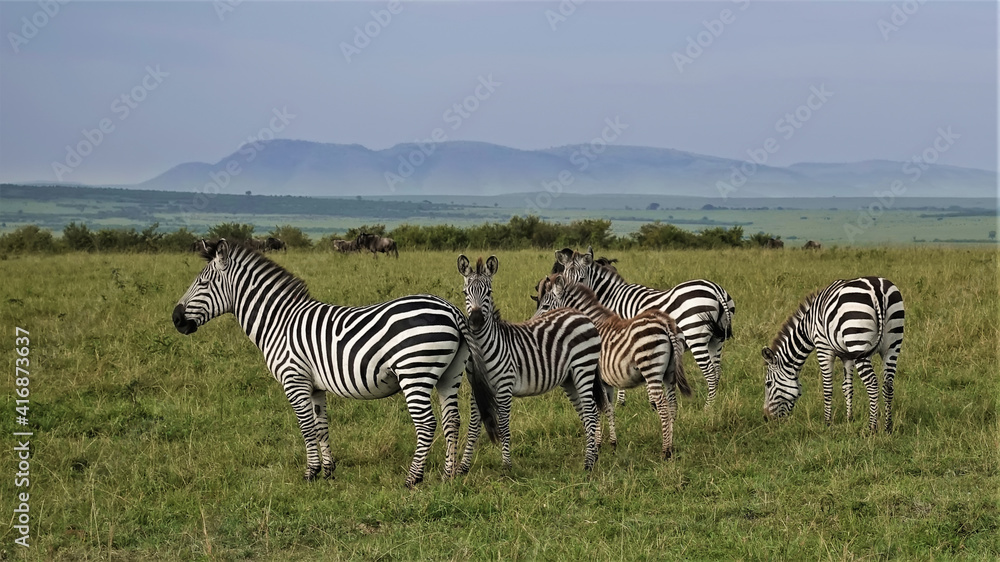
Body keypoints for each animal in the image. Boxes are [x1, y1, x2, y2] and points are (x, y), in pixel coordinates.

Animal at [171, 239, 497, 488]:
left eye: (202, 282)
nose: (175, 319)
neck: (278, 322)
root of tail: (451, 309)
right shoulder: (315, 386)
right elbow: (321, 426)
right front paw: (328, 471)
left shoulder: (295, 380)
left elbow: (306, 427)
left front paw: (310, 473)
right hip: (449, 375)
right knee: (451, 420)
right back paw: (447, 475)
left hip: (414, 373)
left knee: (427, 423)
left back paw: (413, 479)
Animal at [457, 254, 606, 473]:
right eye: (465, 292)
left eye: (489, 292)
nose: (475, 321)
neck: (483, 348)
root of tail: (580, 314)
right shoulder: (477, 389)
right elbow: (473, 427)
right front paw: (462, 468)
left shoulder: (504, 387)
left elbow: (504, 425)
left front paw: (506, 466)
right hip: (569, 379)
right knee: (587, 414)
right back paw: (593, 457)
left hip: (583, 369)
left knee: (591, 412)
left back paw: (588, 463)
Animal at [533, 274, 691, 459]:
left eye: (545, 306)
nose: (531, 324)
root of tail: (664, 322)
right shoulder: (605, 381)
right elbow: (609, 408)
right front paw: (613, 444)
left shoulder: (592, 376)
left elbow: (595, 409)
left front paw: (597, 444)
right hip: (670, 373)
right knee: (673, 406)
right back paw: (671, 446)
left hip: (652, 370)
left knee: (664, 408)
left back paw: (665, 451)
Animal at [551, 247, 735, 408]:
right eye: (564, 276)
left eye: (582, 279)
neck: (611, 298)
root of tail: (715, 289)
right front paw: (651, 402)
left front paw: (622, 402)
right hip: (716, 339)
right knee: (717, 372)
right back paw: (714, 406)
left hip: (696, 336)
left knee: (710, 372)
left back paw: (708, 408)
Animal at [762, 276, 904, 433]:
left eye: (768, 383)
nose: (766, 418)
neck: (808, 327)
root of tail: (878, 289)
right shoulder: (847, 355)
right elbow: (847, 387)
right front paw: (849, 419)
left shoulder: (823, 347)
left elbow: (828, 387)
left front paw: (827, 422)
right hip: (892, 346)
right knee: (888, 385)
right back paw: (888, 428)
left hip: (859, 342)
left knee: (872, 384)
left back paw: (871, 428)